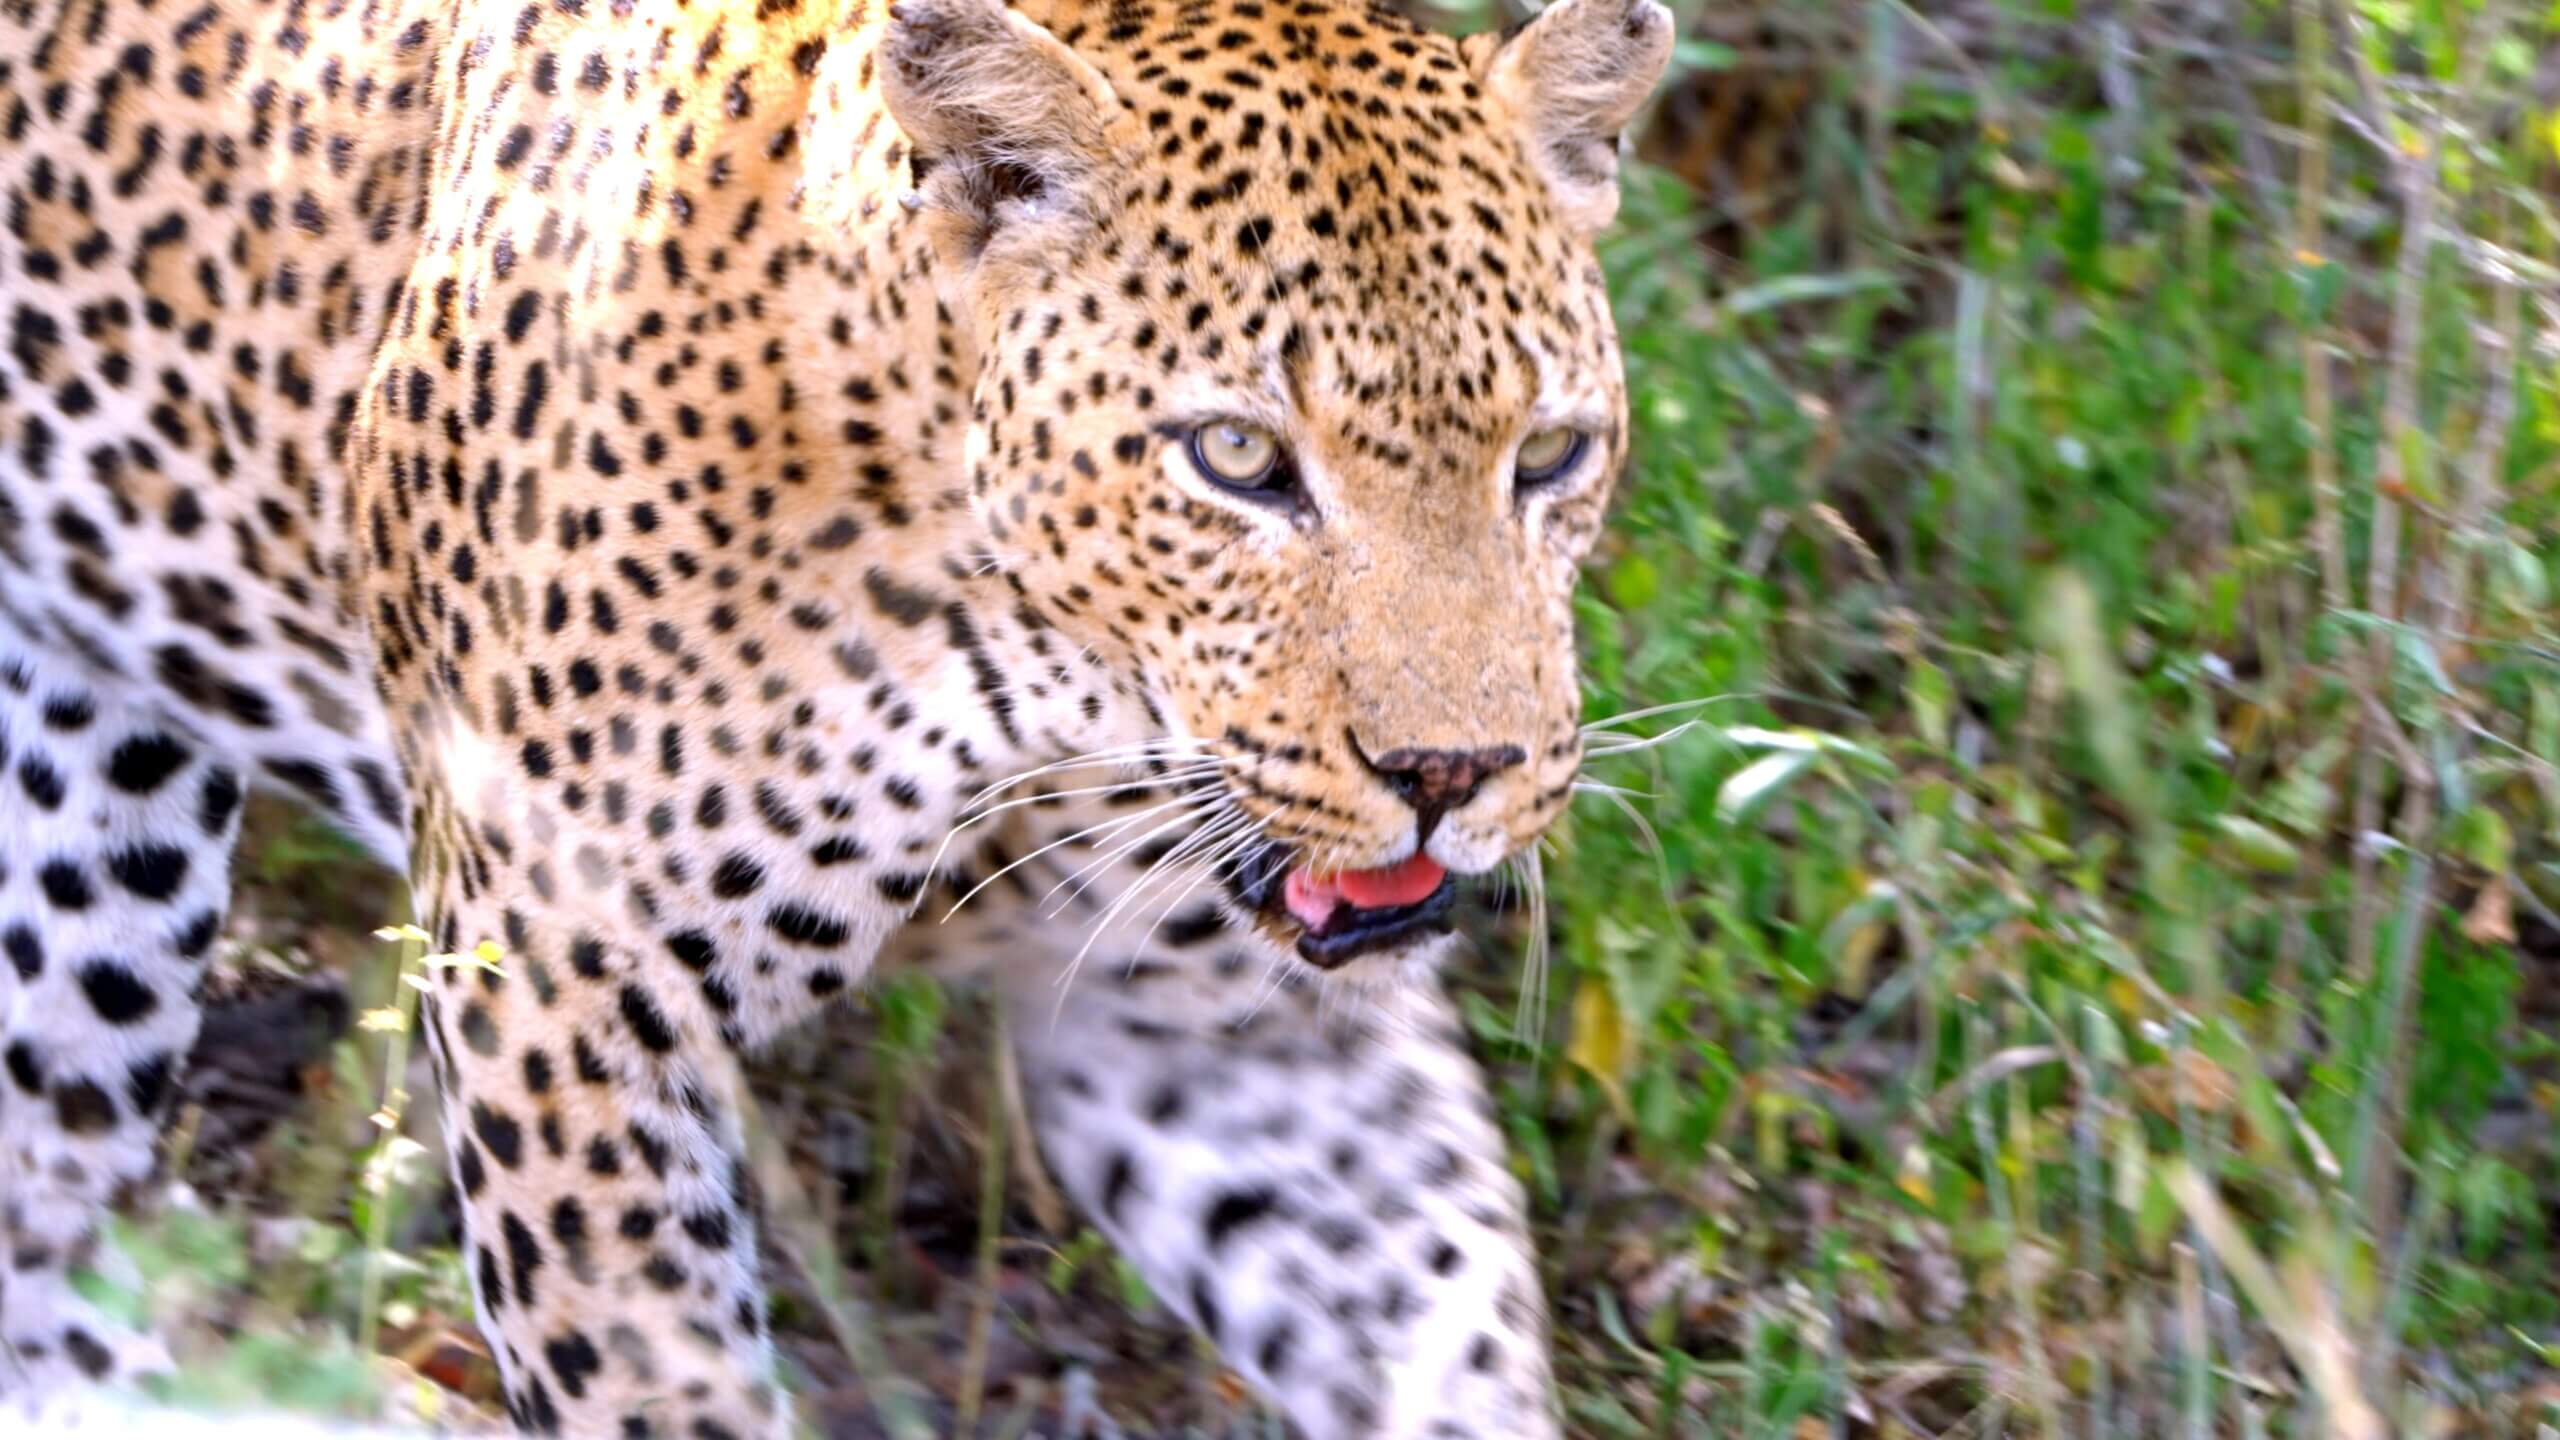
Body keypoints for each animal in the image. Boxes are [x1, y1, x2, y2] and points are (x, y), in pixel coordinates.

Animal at [0, 0, 1674, 1431]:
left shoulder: (1229, 1029)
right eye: (1238, 460)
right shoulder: (556, 990)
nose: (1453, 771)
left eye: (1550, 455)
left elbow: (1446, 1325)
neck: (1021, 675)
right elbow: (650, 1382)